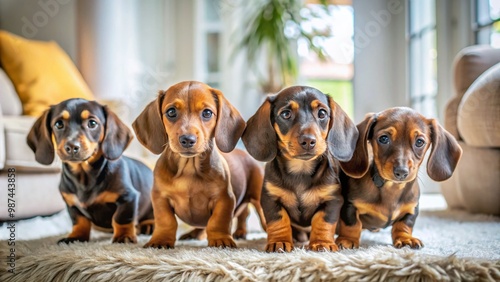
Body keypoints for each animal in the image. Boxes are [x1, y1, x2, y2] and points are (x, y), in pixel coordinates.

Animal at [26, 98, 152, 243]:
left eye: (92, 123)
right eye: (59, 124)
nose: (72, 146)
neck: (84, 177)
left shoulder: (128, 197)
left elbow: (121, 218)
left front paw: (124, 236)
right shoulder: (72, 205)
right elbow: (79, 221)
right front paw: (76, 236)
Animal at [132, 80, 266, 248]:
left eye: (207, 113)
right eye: (171, 112)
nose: (187, 140)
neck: (189, 168)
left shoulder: (224, 199)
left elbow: (217, 221)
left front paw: (221, 239)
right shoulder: (160, 197)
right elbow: (166, 220)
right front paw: (161, 239)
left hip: (258, 196)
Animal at [242, 86, 360, 253]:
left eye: (322, 113)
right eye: (286, 114)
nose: (308, 141)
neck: (300, 169)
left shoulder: (332, 200)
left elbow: (323, 222)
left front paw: (322, 243)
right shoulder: (270, 199)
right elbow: (278, 221)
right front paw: (280, 241)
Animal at [338, 107, 462, 249]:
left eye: (420, 142)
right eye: (383, 138)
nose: (401, 172)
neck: (392, 188)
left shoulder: (412, 209)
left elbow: (404, 224)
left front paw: (405, 238)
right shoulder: (350, 205)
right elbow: (352, 223)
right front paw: (348, 239)